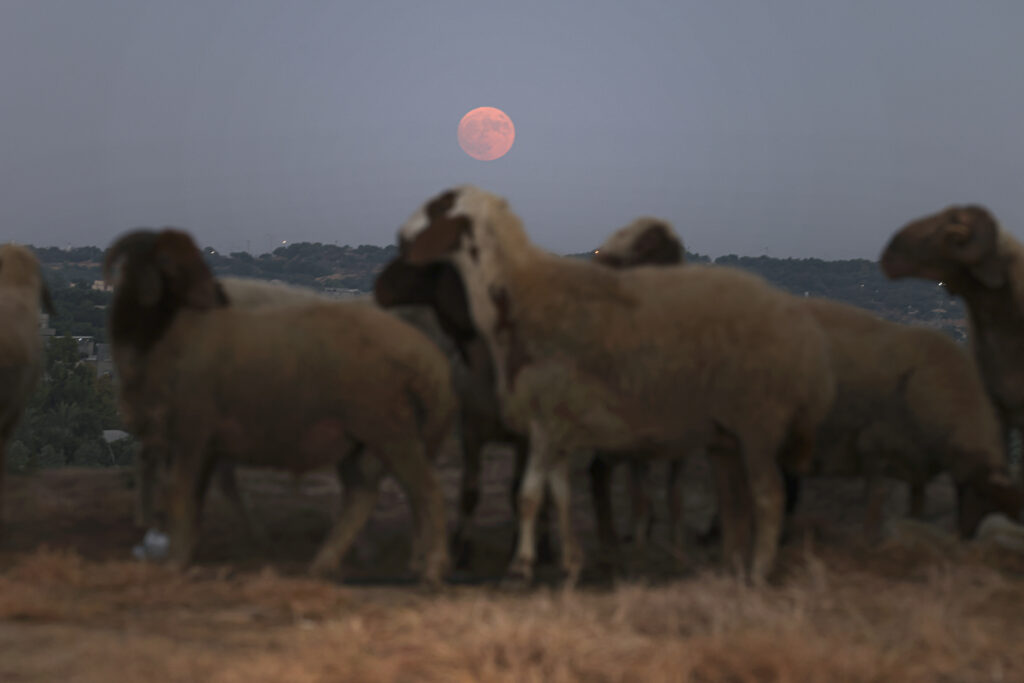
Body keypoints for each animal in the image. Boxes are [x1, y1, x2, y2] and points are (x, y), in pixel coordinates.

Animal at [105, 228, 454, 581]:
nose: (213, 295)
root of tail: (425, 357)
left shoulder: (195, 430)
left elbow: (184, 489)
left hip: (385, 433)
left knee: (416, 490)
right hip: (363, 438)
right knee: (370, 492)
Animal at [395, 187, 835, 589]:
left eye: (439, 207)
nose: (401, 237)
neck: (524, 293)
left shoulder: (551, 421)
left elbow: (532, 495)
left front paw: (522, 568)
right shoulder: (557, 426)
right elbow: (560, 492)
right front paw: (571, 563)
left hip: (755, 421)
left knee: (769, 494)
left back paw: (754, 572)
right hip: (727, 434)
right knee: (733, 501)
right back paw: (725, 567)